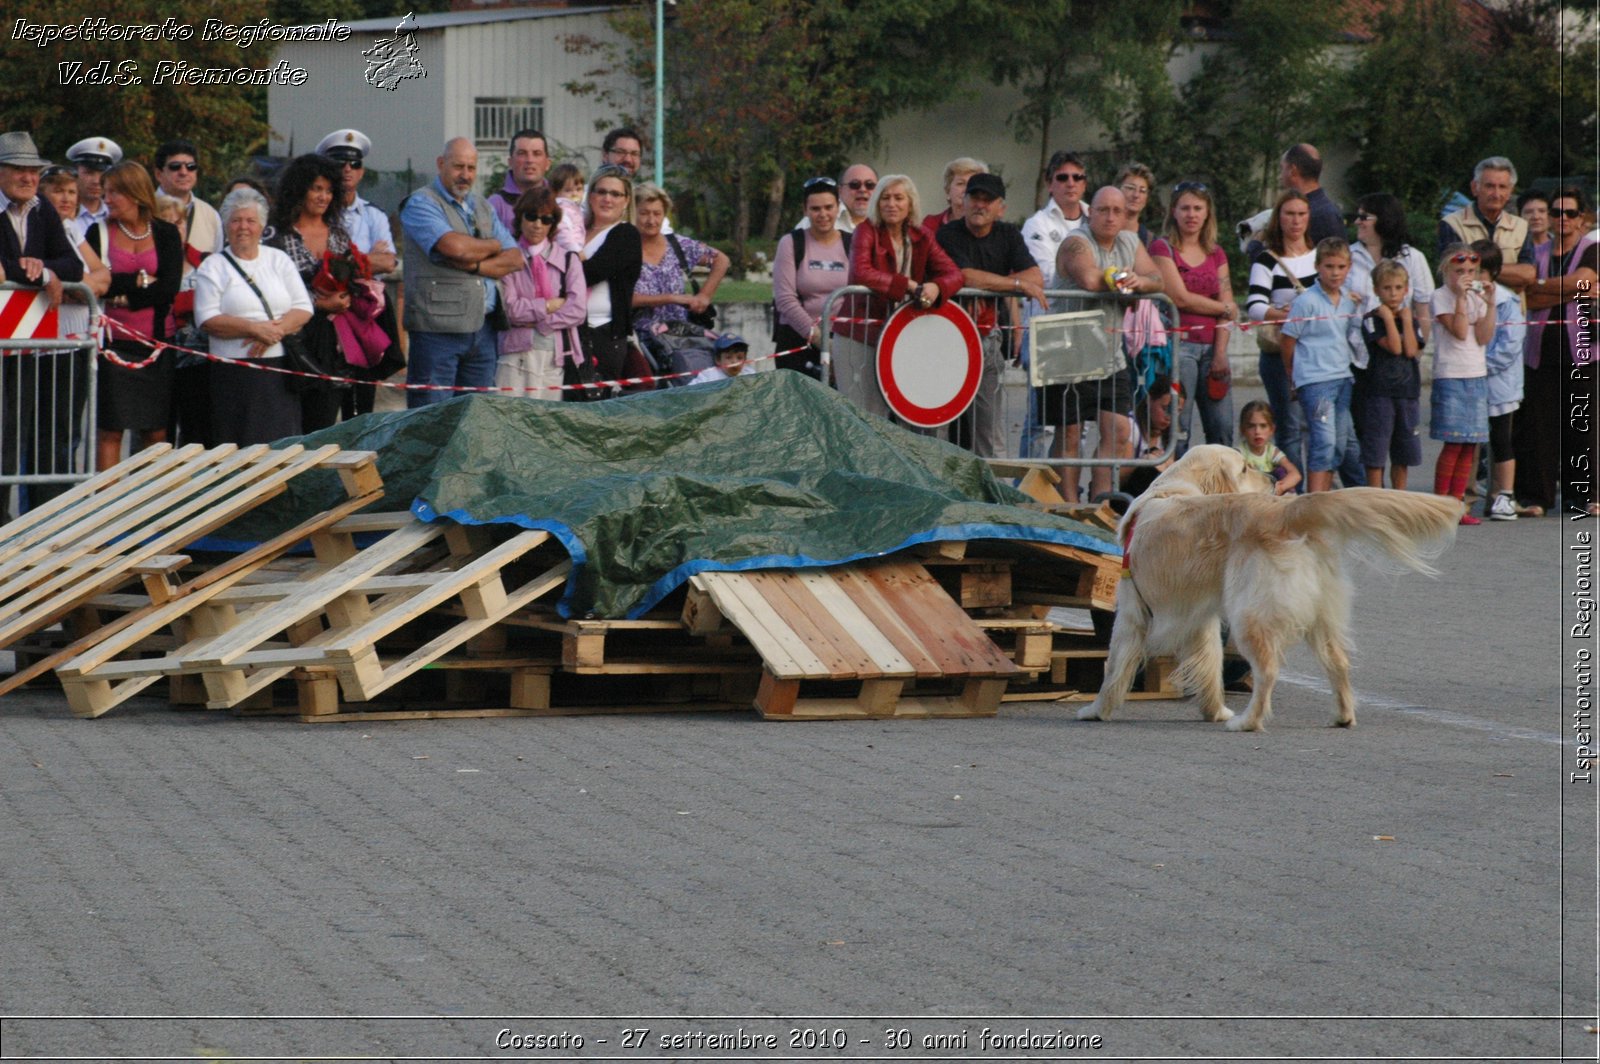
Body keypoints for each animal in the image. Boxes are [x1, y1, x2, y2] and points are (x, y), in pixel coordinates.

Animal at [1075, 441, 1465, 729]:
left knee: (1269, 670)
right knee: (1338, 662)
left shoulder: (1132, 613)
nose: (1273, 479)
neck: (1170, 490)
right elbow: (1209, 664)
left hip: (1250, 615)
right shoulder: (1201, 620)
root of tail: (1285, 510)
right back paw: (1342, 716)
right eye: (1244, 468)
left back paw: (1249, 722)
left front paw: (1097, 710)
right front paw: (1215, 710)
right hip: (1321, 614)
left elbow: (1114, 667)